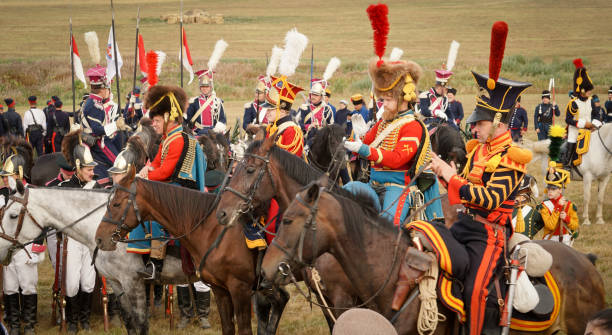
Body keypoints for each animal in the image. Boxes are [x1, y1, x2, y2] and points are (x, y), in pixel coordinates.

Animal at [0, 188, 195, 334]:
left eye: (13, 215)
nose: (0, 249)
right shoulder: (116, 282)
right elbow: (129, 323)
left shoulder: (133, 282)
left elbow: (141, 324)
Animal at [94, 173, 290, 335]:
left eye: (116, 204)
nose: (100, 238)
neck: (212, 230)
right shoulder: (220, 289)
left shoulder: (239, 288)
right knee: (280, 299)